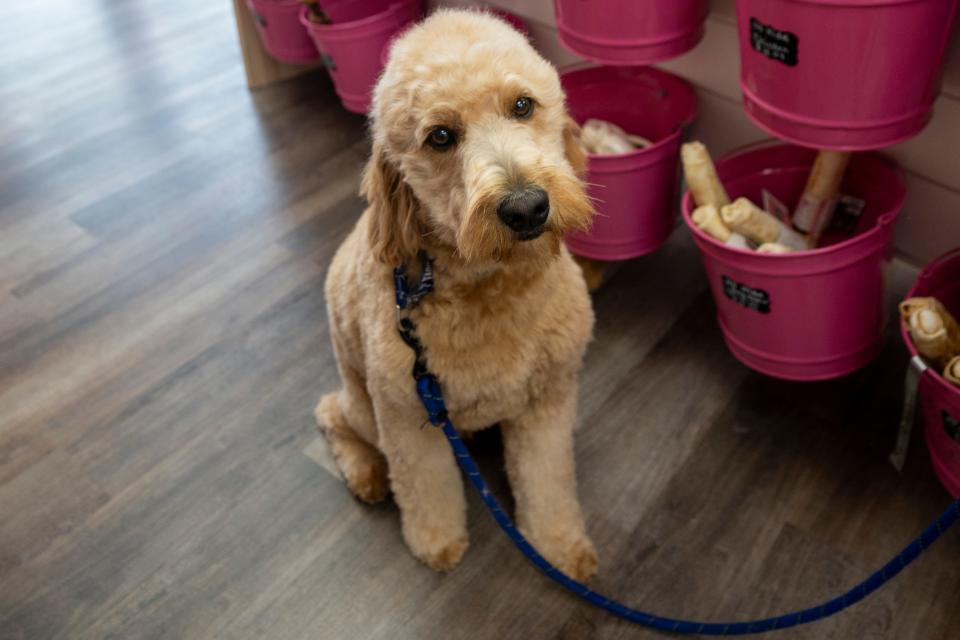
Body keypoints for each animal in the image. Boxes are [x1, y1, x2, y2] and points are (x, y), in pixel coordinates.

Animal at [316, 8, 600, 580]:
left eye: (522, 105)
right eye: (441, 137)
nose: (526, 208)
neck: (494, 285)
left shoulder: (548, 400)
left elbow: (547, 480)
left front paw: (558, 546)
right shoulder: (406, 415)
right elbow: (427, 487)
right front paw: (436, 542)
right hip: (364, 404)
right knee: (331, 413)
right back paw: (364, 472)